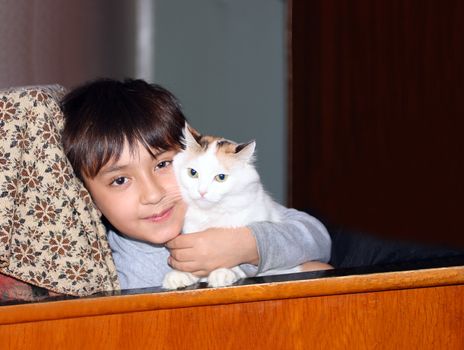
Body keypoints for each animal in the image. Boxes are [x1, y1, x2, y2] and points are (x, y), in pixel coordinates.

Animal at [163, 124, 300, 288]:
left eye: (221, 177)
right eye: (193, 173)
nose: (202, 192)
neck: (209, 215)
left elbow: (236, 265)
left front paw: (222, 273)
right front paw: (180, 275)